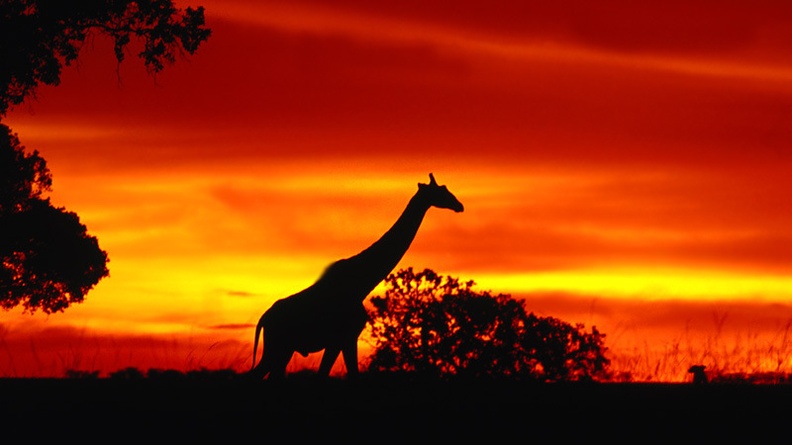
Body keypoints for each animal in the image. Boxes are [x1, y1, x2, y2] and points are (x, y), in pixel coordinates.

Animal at [249, 173, 464, 379]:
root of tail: (264, 318)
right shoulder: (342, 337)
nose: (459, 205)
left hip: (284, 350)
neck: (362, 283)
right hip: (278, 347)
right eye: (441, 191)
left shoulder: (345, 339)